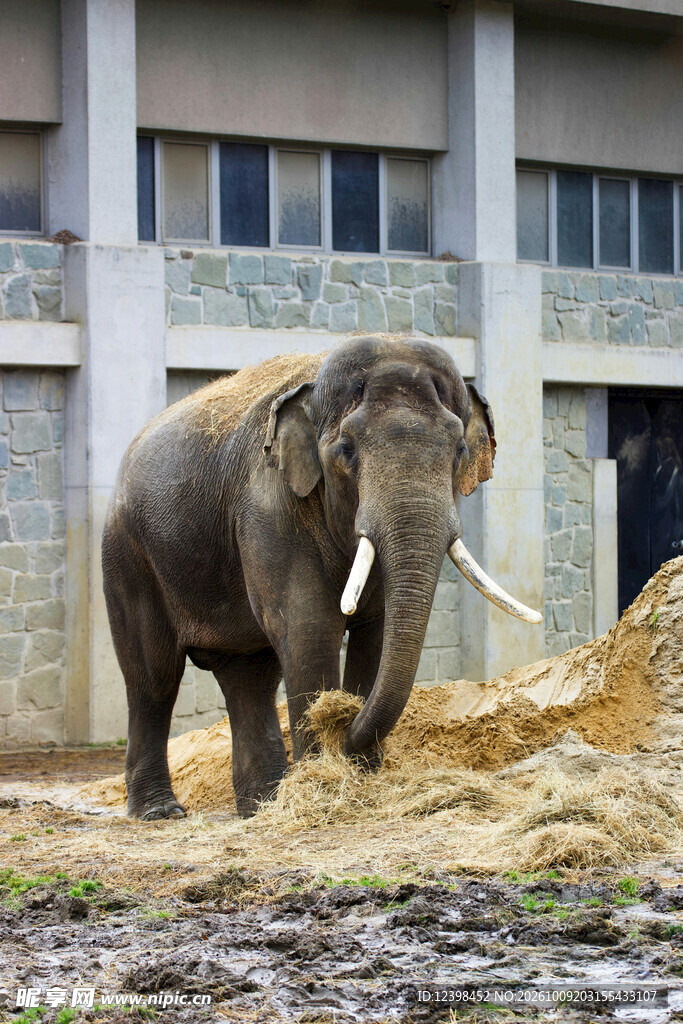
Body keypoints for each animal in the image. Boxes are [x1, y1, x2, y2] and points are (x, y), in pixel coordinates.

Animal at [102, 334, 540, 820]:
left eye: (460, 451)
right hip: (128, 554)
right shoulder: (267, 506)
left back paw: (263, 805)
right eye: (346, 451)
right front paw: (326, 779)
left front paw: (361, 777)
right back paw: (162, 812)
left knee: (248, 674)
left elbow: (376, 631)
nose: (346, 729)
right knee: (153, 675)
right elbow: (308, 626)